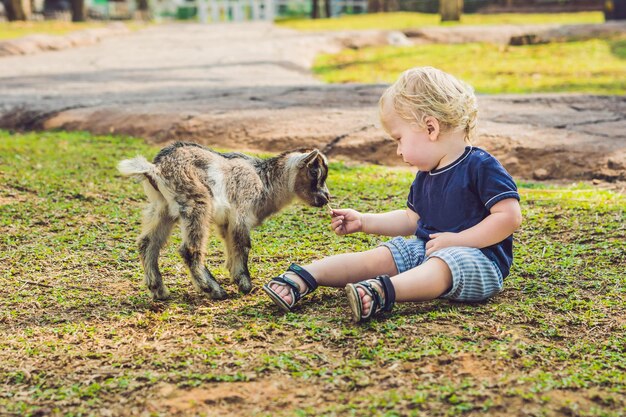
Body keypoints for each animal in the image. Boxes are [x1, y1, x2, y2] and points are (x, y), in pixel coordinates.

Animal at [118, 142, 332, 300]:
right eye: (315, 172)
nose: (326, 197)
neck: (264, 180)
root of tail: (156, 168)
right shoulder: (241, 213)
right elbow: (243, 244)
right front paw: (245, 284)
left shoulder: (226, 223)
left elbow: (230, 246)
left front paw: (234, 276)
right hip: (196, 202)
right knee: (189, 249)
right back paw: (213, 289)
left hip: (162, 208)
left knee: (147, 243)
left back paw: (159, 290)